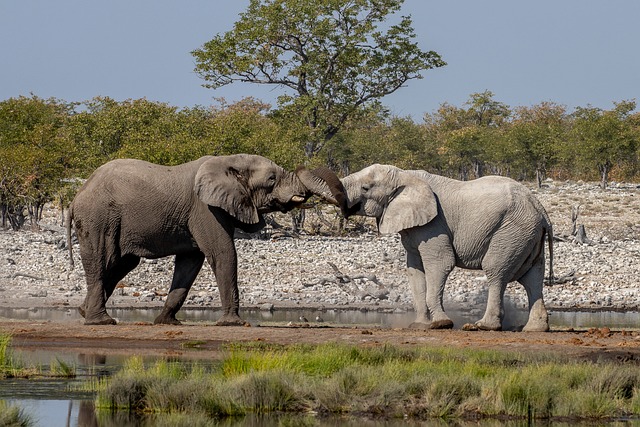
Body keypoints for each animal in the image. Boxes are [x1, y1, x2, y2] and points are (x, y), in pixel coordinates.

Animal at [67, 154, 342, 326]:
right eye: (272, 179)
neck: (230, 161)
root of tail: (78, 194)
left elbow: (190, 263)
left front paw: (168, 322)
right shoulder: (205, 209)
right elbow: (224, 253)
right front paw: (235, 324)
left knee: (121, 263)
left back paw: (83, 311)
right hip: (98, 217)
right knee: (103, 259)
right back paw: (101, 321)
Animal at [317, 164, 554, 332]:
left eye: (366, 188)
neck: (405, 175)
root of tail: (542, 211)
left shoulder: (434, 224)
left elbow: (440, 264)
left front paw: (441, 324)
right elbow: (415, 270)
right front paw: (420, 325)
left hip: (511, 231)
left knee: (496, 271)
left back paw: (483, 326)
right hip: (527, 235)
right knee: (533, 277)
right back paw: (535, 329)